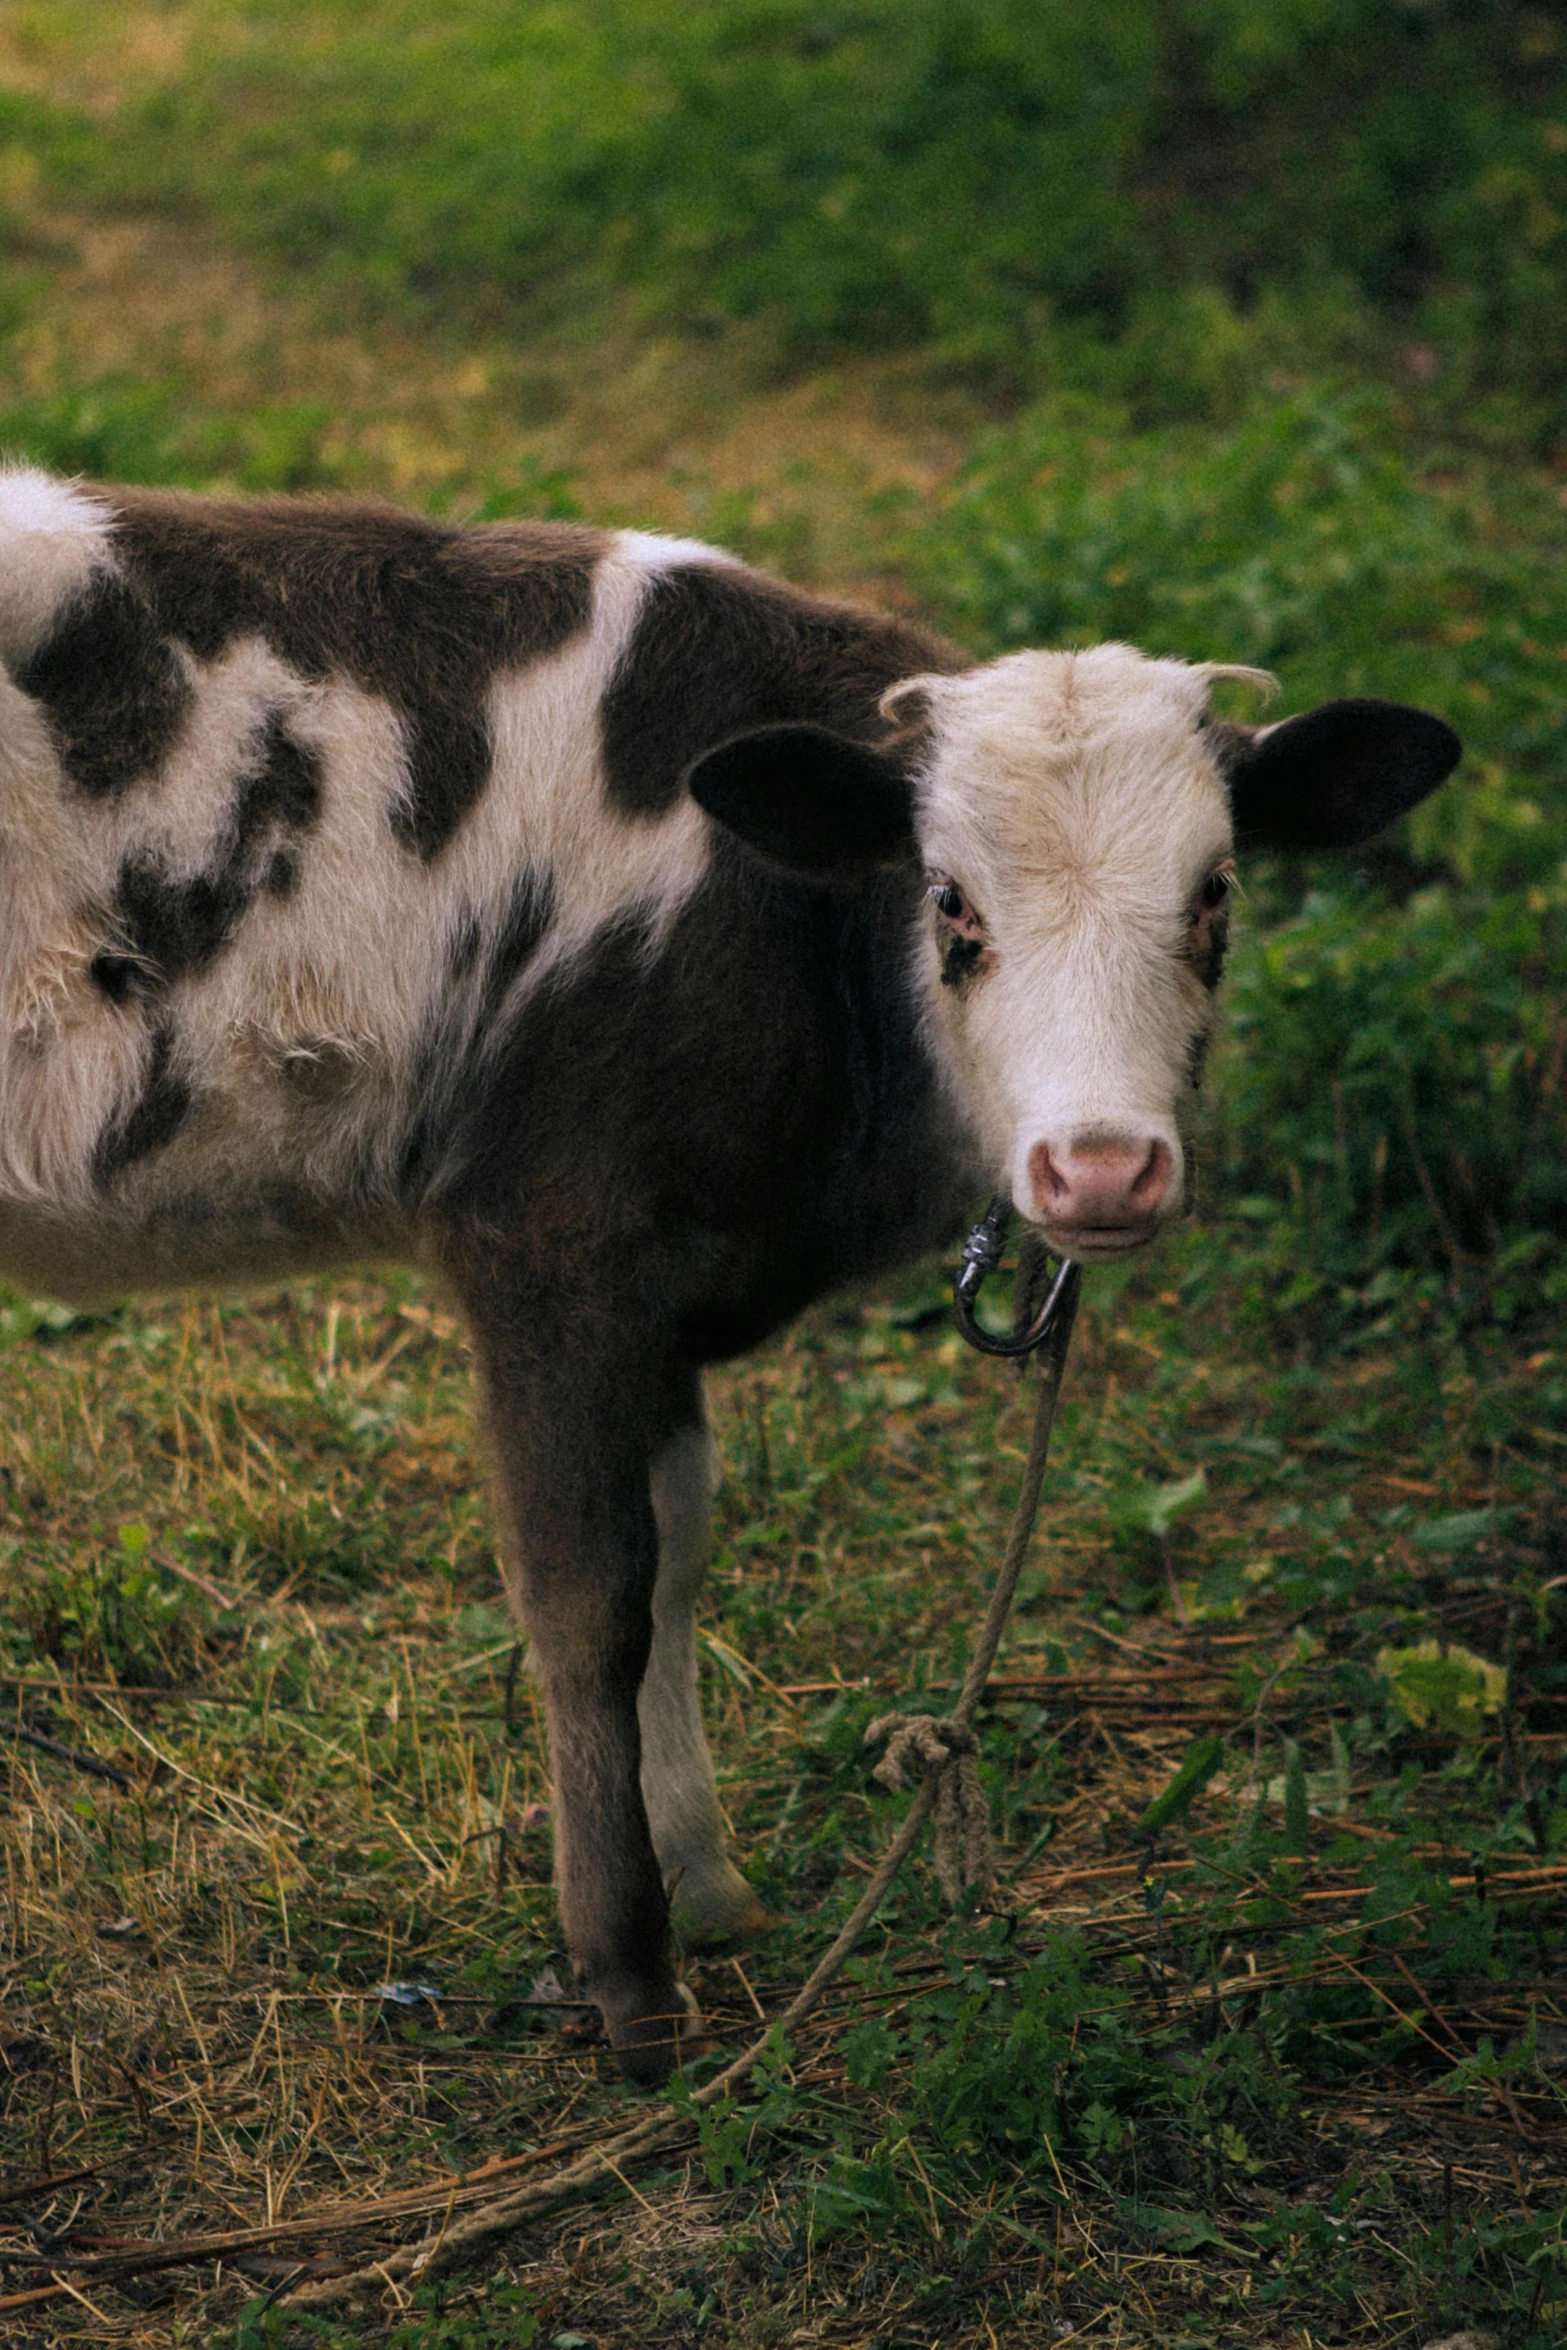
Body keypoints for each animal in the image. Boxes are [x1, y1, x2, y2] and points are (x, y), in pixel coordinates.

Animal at [0, 472, 1456, 2077]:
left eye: (1214, 898)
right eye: (948, 903)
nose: (1100, 1168)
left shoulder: (657, 1286)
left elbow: (681, 1543)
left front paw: (702, 1877)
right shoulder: (545, 1240)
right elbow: (587, 1593)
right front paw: (627, 1972)